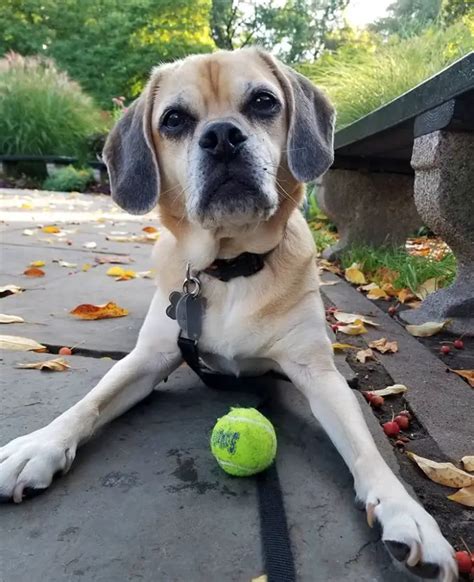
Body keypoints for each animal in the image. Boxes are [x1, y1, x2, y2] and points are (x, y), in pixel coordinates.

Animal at [0, 48, 460, 580]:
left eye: (263, 102)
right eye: (173, 120)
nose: (221, 136)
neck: (229, 268)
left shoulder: (319, 373)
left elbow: (364, 448)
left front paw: (406, 513)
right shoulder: (148, 360)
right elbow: (89, 403)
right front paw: (38, 445)